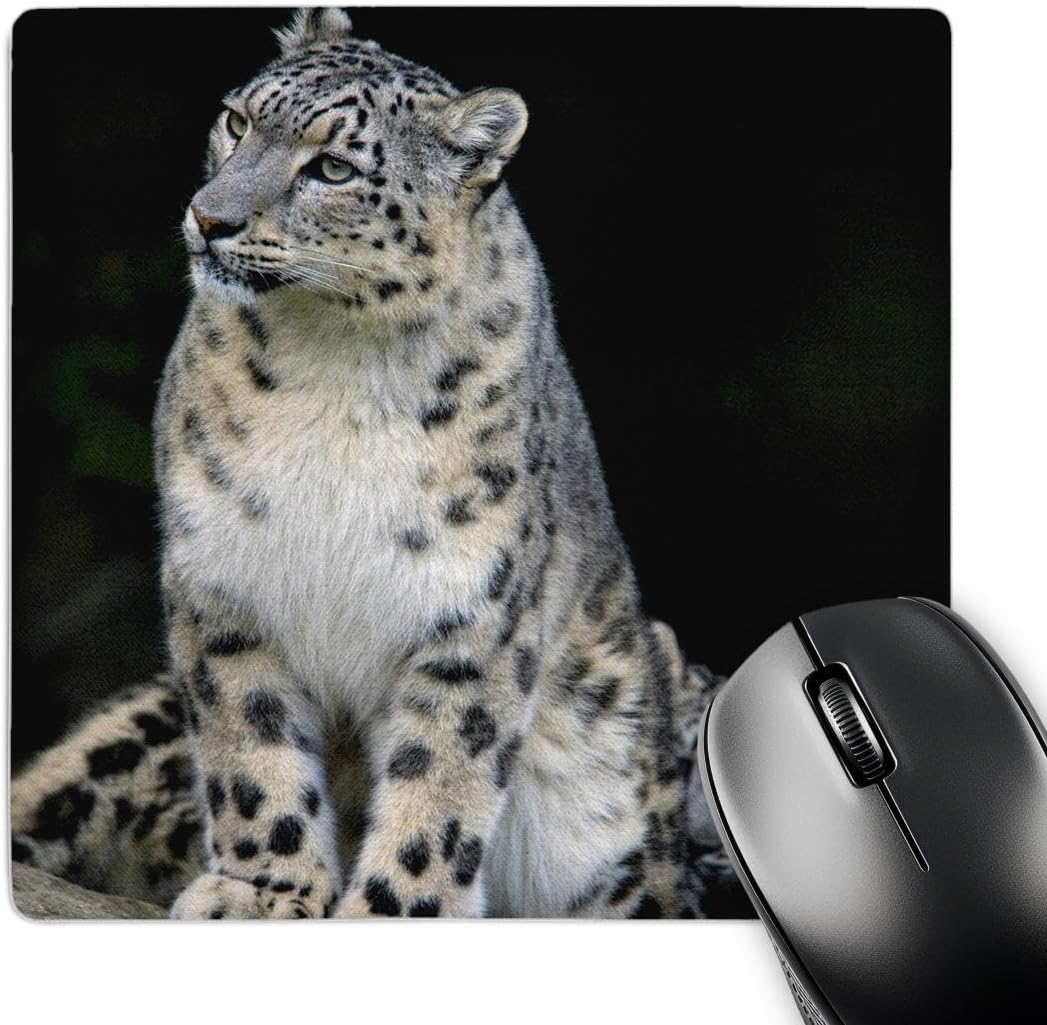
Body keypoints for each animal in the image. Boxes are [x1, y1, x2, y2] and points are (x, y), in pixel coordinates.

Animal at [11, 8, 743, 919]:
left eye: (332, 167)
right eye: (237, 120)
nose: (209, 218)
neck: (335, 366)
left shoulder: (471, 610)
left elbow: (441, 780)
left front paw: (395, 909)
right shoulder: (223, 580)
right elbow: (249, 748)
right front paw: (263, 890)